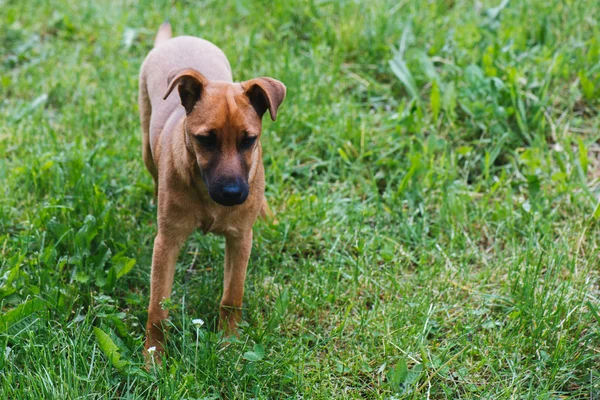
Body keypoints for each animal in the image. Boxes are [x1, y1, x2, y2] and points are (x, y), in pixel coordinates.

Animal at [138, 21, 286, 356]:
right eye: (205, 140)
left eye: (249, 140)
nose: (232, 194)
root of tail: (177, 39)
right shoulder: (167, 242)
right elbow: (158, 309)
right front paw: (154, 357)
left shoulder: (240, 238)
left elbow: (232, 297)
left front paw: (229, 345)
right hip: (146, 145)